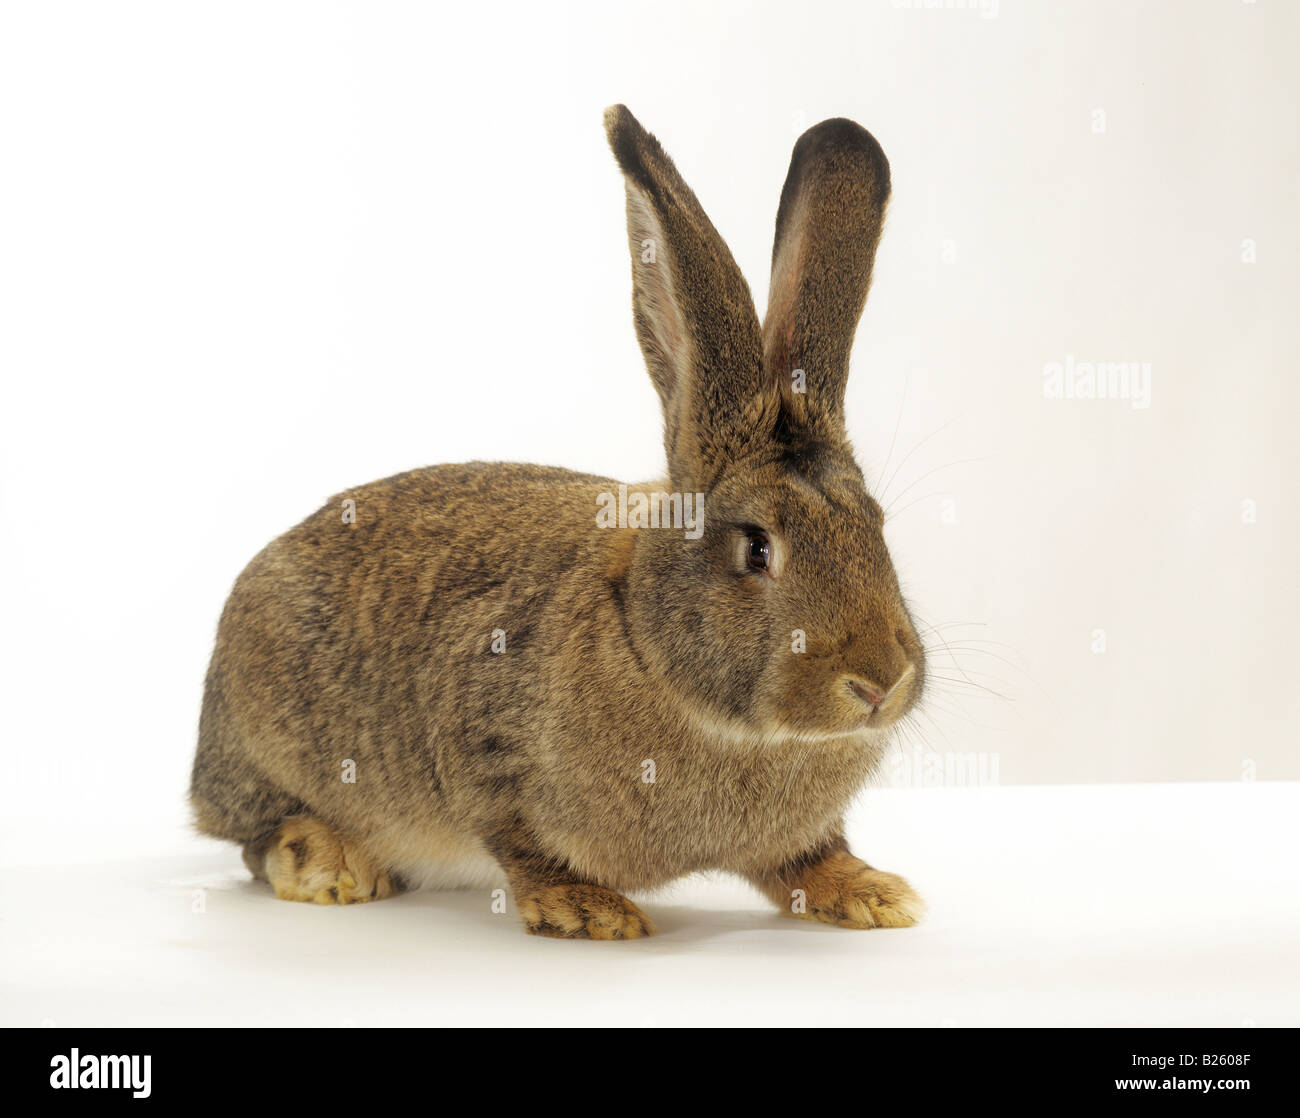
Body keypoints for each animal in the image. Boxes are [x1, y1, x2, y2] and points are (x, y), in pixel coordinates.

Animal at [190, 105, 927, 939]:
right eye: (757, 548)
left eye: (876, 523)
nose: (881, 682)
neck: (646, 642)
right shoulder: (483, 749)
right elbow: (519, 842)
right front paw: (588, 911)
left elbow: (807, 858)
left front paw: (873, 894)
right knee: (254, 835)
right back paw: (330, 865)